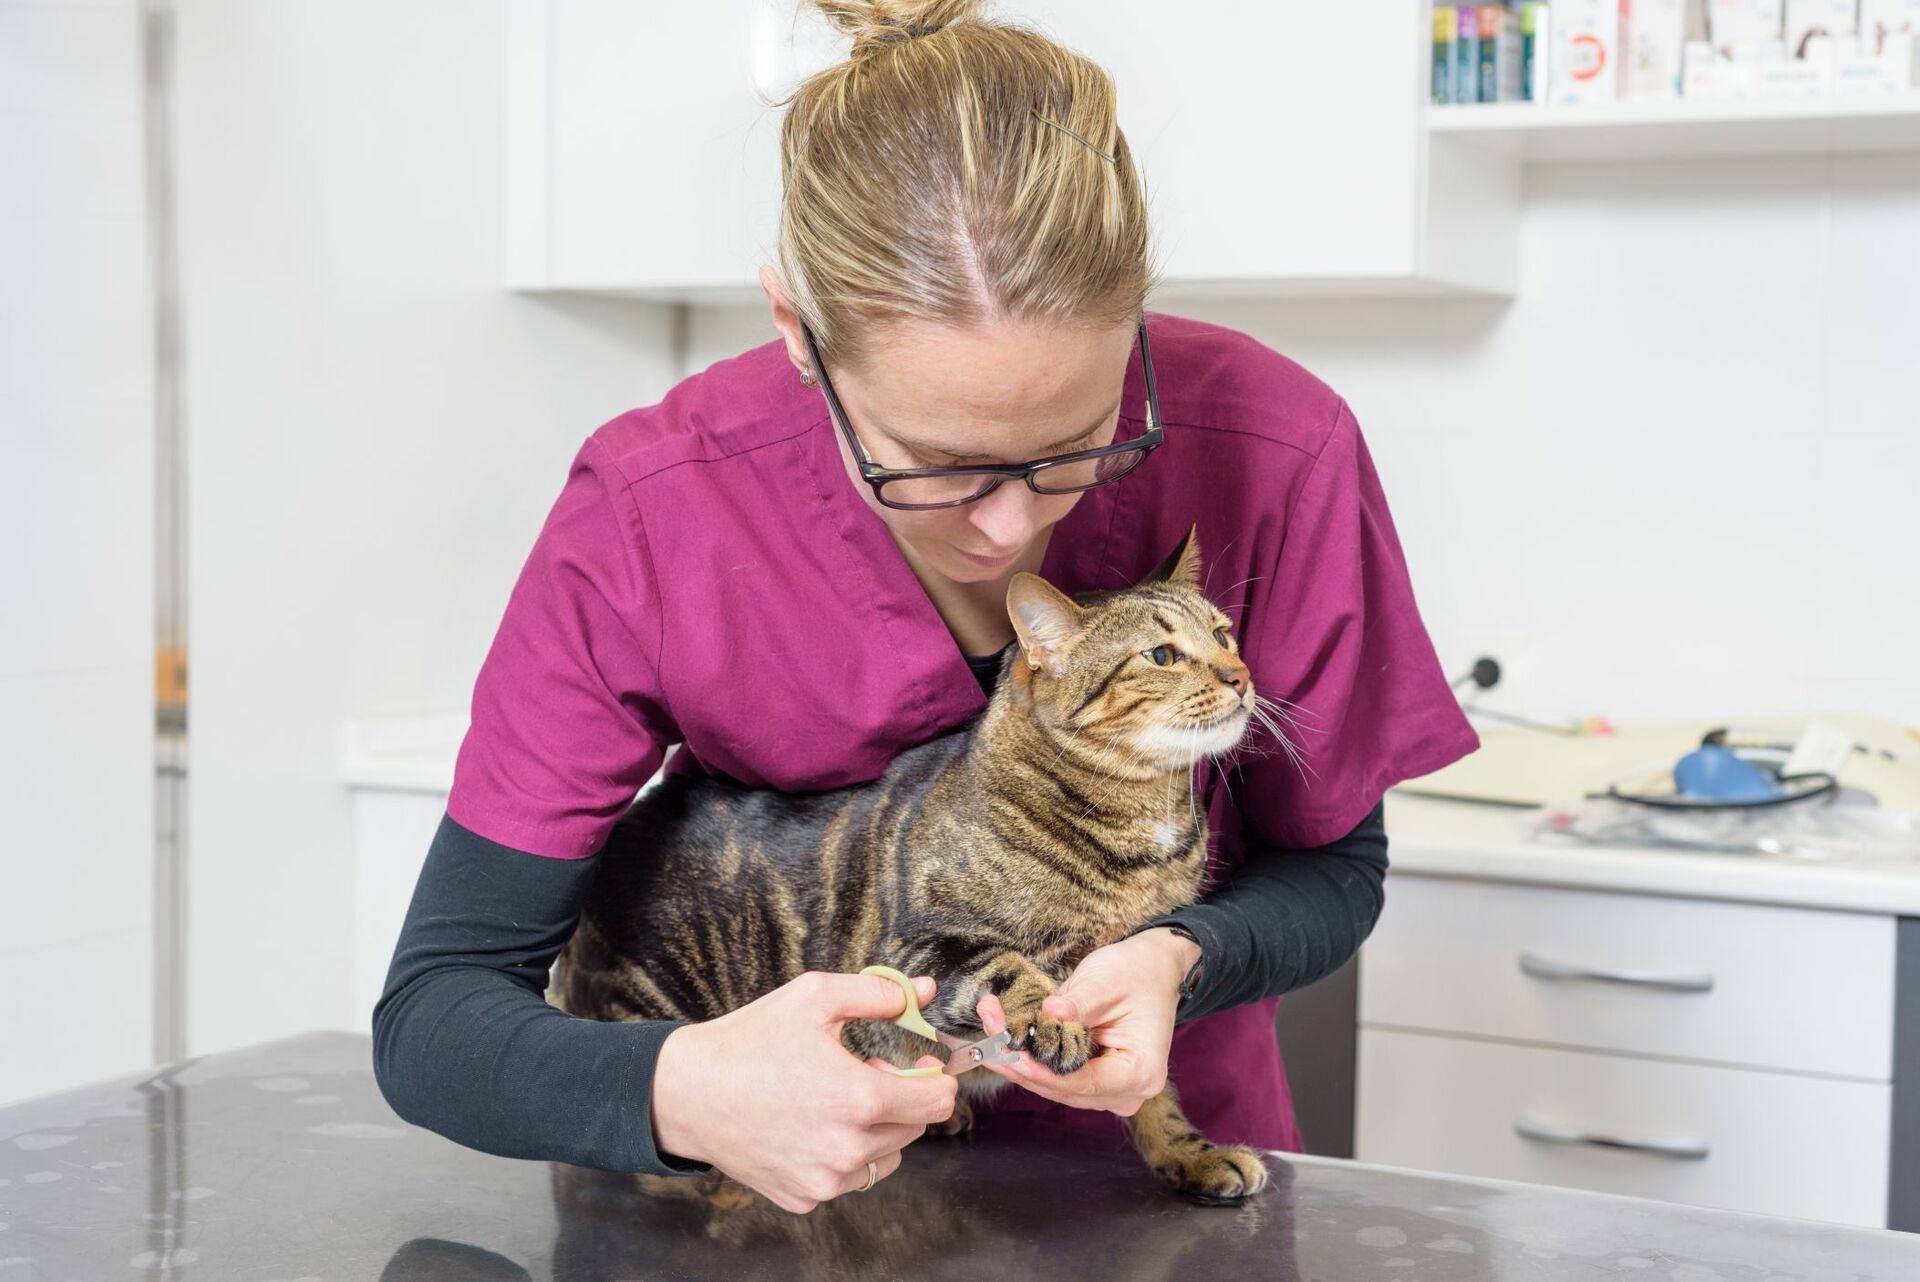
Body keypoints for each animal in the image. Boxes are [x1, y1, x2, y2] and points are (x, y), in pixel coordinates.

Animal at [552, 525, 1274, 1205]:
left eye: (1224, 635)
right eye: (1162, 656)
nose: (1240, 676)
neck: (1140, 822)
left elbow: (1156, 1091)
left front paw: (1192, 1154)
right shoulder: (920, 945)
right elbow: (1007, 967)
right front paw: (1051, 1016)